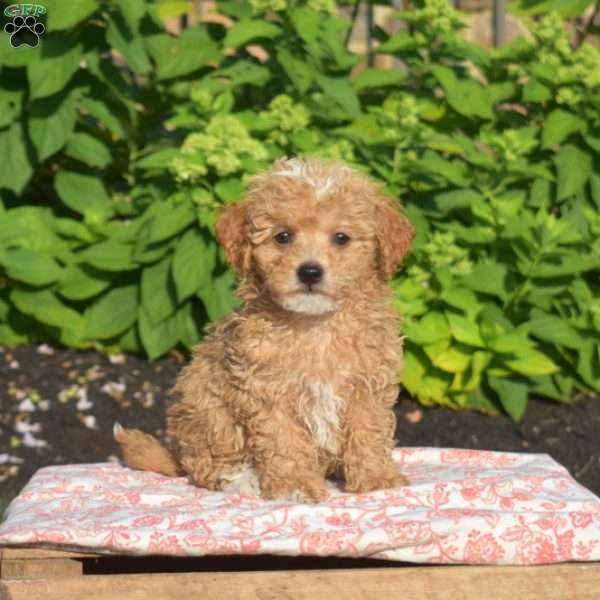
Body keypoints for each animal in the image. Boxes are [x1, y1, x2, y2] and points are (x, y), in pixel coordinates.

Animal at [117, 156, 418, 502]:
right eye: (282, 237)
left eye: (341, 238)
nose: (310, 272)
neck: (315, 325)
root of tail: (177, 452)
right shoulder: (268, 392)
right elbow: (284, 442)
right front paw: (295, 485)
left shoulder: (367, 386)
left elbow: (369, 433)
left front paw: (377, 478)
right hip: (207, 410)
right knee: (206, 464)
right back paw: (242, 479)